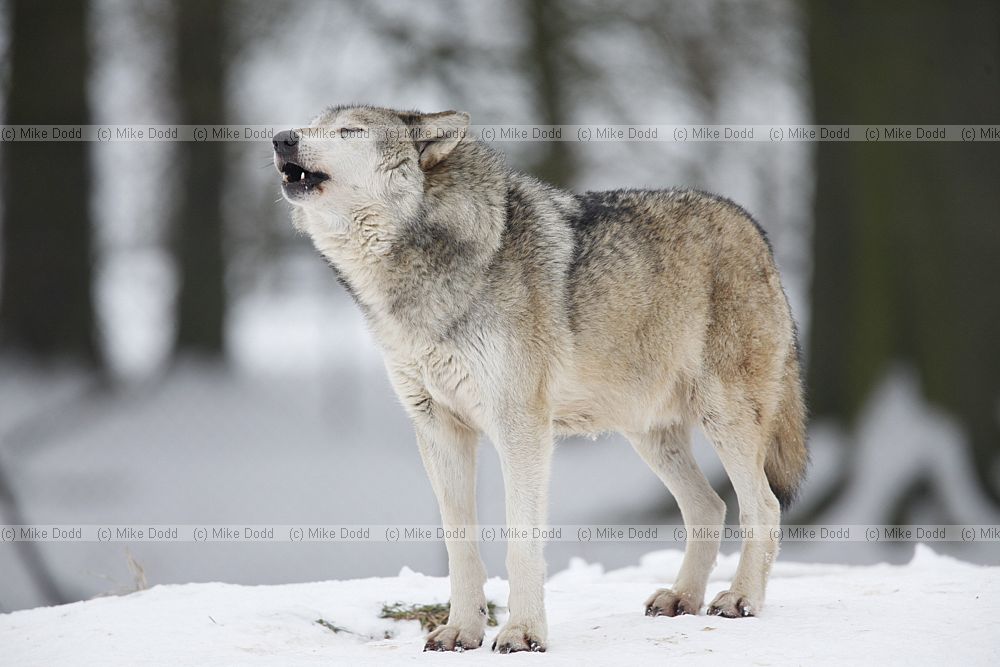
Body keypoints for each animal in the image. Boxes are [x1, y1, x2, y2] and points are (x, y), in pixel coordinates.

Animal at [273, 106, 808, 653]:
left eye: (349, 131)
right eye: (313, 122)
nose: (280, 138)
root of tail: (753, 227)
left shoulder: (521, 428)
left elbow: (521, 543)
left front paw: (523, 633)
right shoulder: (438, 429)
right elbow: (460, 545)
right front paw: (461, 631)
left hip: (724, 419)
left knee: (762, 506)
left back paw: (739, 600)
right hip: (650, 435)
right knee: (709, 507)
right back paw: (682, 599)